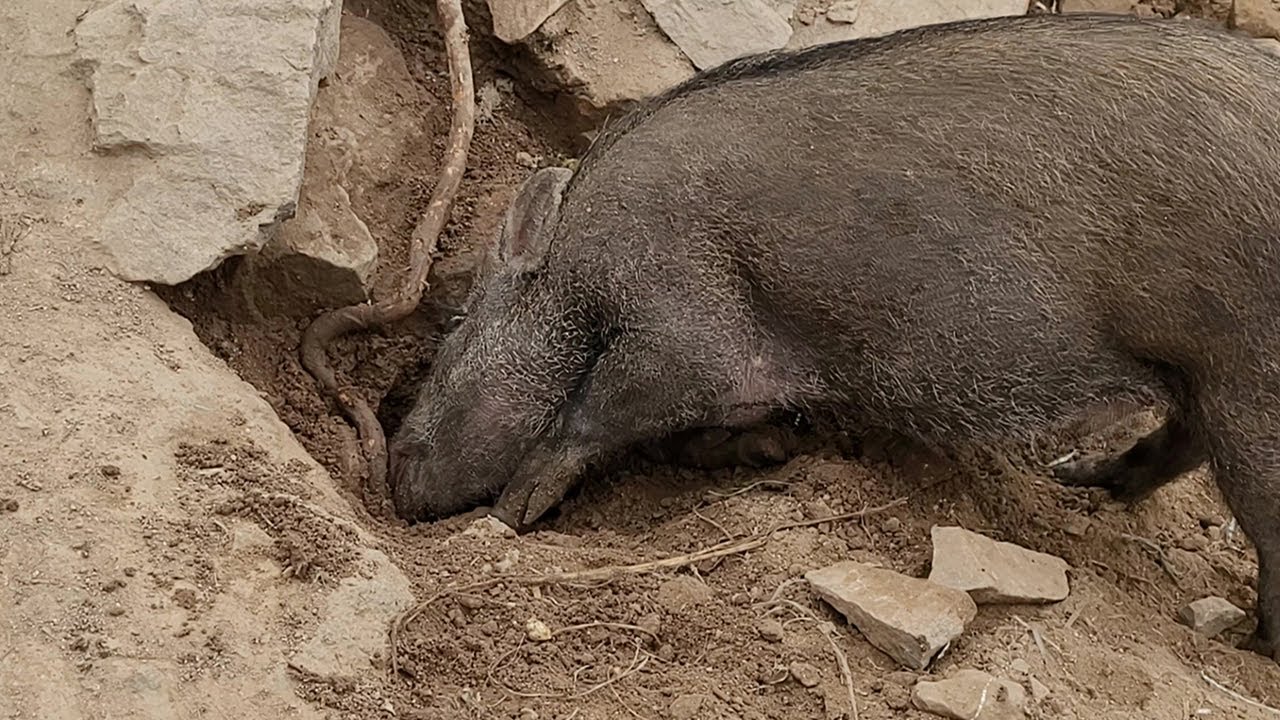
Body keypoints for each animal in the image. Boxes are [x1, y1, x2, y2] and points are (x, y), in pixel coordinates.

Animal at [388, 13, 1280, 661]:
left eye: (456, 326)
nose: (393, 476)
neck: (581, 264)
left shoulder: (685, 325)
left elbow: (594, 415)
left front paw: (511, 515)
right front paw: (773, 453)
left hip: (1247, 372)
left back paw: (1250, 647)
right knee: (1182, 445)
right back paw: (1081, 483)